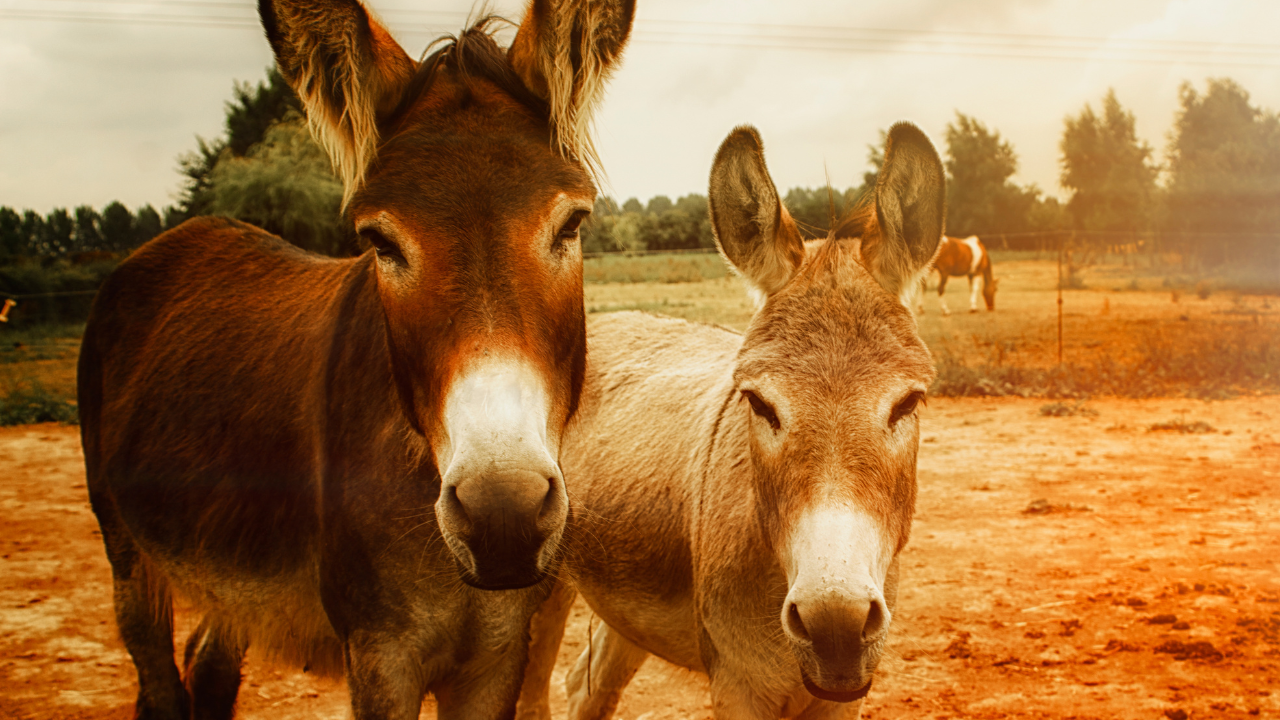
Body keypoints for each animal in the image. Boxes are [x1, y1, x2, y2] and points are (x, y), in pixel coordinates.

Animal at [76, 1, 634, 717]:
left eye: (572, 224)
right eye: (380, 242)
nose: (501, 516)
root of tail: (181, 236)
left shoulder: (499, 654)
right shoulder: (380, 652)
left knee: (208, 663)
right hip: (128, 554)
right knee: (157, 677)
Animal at [514, 122, 947, 717]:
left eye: (908, 403)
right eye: (759, 404)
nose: (835, 627)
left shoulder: (843, 695)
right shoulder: (737, 685)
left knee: (587, 684)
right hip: (540, 586)